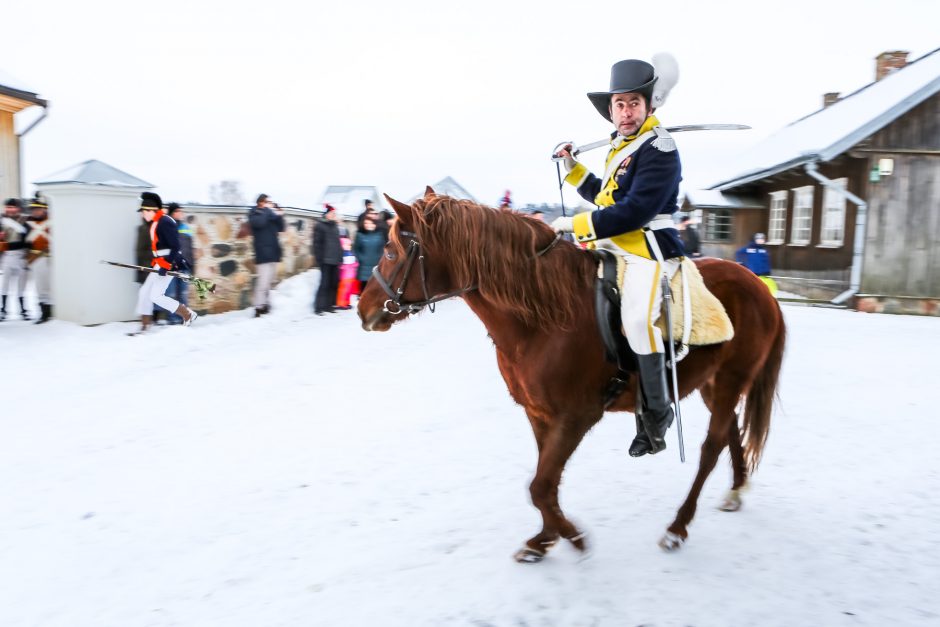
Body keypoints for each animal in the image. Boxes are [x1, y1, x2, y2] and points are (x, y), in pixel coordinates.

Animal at [360, 189, 784, 560]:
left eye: (390, 250)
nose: (363, 309)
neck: (542, 316)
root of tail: (760, 289)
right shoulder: (540, 414)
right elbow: (545, 483)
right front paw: (545, 539)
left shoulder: (576, 416)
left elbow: (540, 484)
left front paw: (572, 537)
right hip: (714, 384)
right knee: (730, 431)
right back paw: (735, 492)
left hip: (730, 380)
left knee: (710, 448)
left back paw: (677, 527)